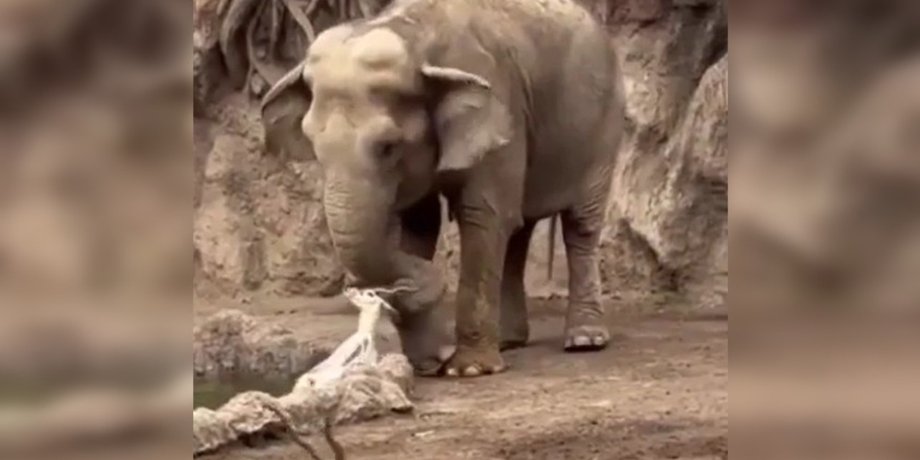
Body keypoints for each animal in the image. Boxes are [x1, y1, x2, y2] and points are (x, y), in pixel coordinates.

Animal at [261, 0, 625, 377]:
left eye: (388, 146)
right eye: (312, 144)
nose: (413, 285)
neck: (413, 36)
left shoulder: (500, 107)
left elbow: (483, 214)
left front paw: (469, 370)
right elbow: (420, 224)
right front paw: (426, 364)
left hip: (604, 122)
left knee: (579, 222)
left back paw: (584, 340)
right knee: (518, 231)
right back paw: (509, 342)